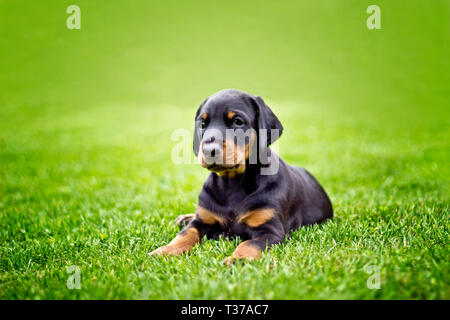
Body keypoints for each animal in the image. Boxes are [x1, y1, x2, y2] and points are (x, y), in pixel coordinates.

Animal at [149, 89, 332, 264]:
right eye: (203, 123)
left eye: (237, 121)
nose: (208, 150)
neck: (232, 184)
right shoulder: (200, 221)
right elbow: (184, 235)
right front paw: (165, 251)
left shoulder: (270, 230)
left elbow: (249, 244)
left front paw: (238, 259)